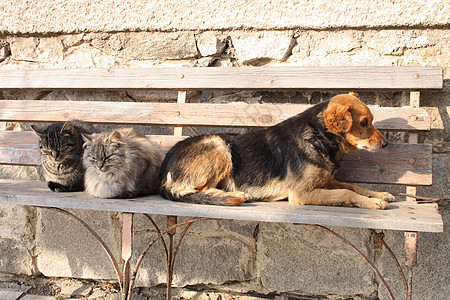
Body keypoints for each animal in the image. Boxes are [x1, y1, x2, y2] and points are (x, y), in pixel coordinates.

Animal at [160, 92, 396, 210]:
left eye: (370, 121)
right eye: (364, 123)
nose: (386, 144)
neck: (318, 136)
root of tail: (164, 170)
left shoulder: (325, 181)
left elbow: (353, 186)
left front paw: (378, 193)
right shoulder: (301, 193)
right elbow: (346, 193)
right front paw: (372, 202)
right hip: (218, 145)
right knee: (189, 190)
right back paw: (235, 195)